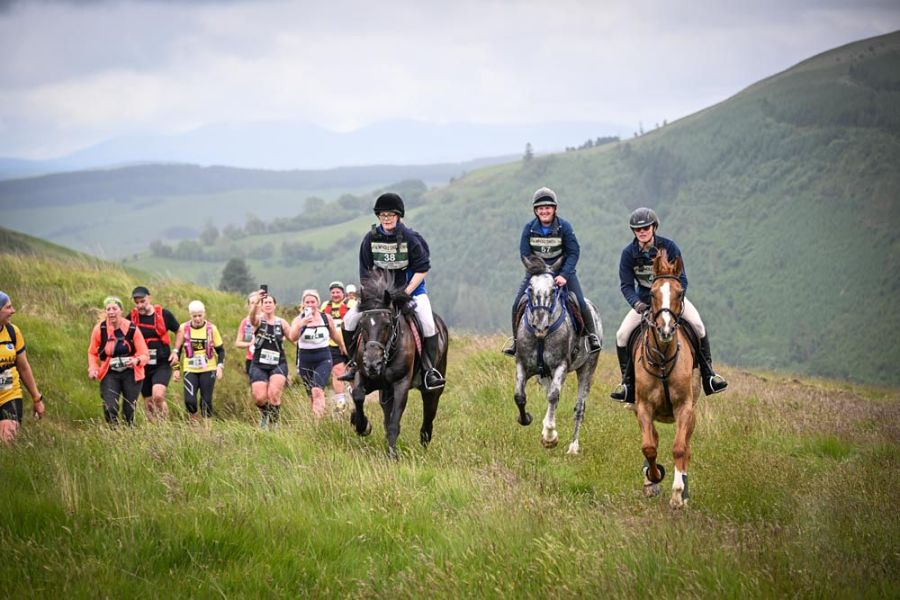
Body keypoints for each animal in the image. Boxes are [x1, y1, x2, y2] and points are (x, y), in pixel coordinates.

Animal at [346, 272, 448, 460]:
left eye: (387, 324)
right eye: (362, 325)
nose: (372, 364)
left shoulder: (401, 384)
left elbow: (394, 423)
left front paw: (393, 456)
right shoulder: (364, 377)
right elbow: (357, 395)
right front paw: (362, 425)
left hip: (433, 388)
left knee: (429, 413)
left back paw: (425, 440)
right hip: (386, 393)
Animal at [512, 254, 604, 454]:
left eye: (554, 290)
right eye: (530, 288)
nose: (540, 324)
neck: (541, 337)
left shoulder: (560, 366)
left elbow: (554, 396)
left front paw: (549, 437)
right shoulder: (523, 364)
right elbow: (519, 396)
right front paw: (526, 419)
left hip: (588, 367)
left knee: (579, 408)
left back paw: (573, 447)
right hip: (545, 375)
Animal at [628, 246, 700, 508]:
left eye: (680, 293)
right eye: (652, 294)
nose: (666, 329)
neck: (663, 360)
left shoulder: (684, 407)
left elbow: (679, 449)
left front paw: (678, 494)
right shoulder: (643, 407)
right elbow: (649, 447)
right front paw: (653, 476)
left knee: (686, 447)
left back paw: (685, 493)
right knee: (655, 439)